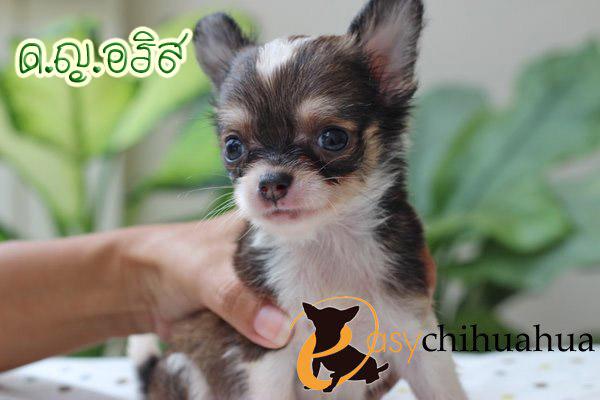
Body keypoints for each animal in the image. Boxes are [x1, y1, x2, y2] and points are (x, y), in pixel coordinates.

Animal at [130, 0, 467, 399]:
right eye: (232, 147)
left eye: (333, 138)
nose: (271, 183)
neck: (326, 242)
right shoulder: (266, 353)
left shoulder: (414, 327)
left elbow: (442, 387)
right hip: (183, 369)